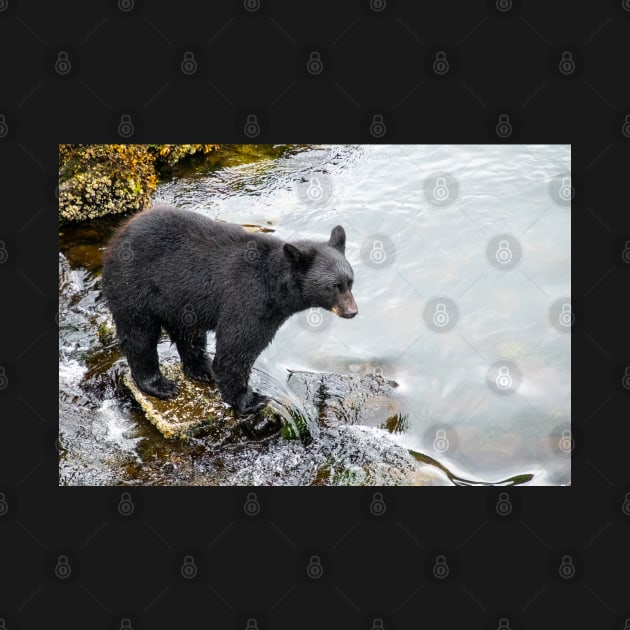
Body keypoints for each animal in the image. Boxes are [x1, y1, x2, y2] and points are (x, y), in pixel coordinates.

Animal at [103, 205, 360, 418]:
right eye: (334, 286)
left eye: (350, 281)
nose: (352, 311)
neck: (275, 285)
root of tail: (117, 236)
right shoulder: (249, 300)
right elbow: (236, 350)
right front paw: (250, 400)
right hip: (133, 285)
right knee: (139, 334)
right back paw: (158, 385)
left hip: (179, 301)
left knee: (188, 333)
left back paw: (201, 369)